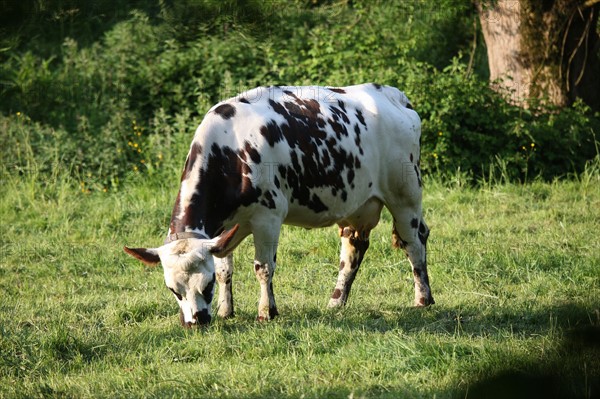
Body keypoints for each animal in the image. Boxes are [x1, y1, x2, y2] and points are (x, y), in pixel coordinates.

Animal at [123, 83, 432, 328]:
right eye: (173, 289)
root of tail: (391, 93)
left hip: (405, 195)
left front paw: (266, 312)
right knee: (353, 250)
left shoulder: (268, 218)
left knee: (414, 241)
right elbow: (225, 269)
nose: (195, 322)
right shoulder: (222, 228)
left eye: (206, 285)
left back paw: (423, 299)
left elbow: (263, 267)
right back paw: (336, 302)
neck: (230, 151)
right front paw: (226, 311)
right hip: (357, 204)